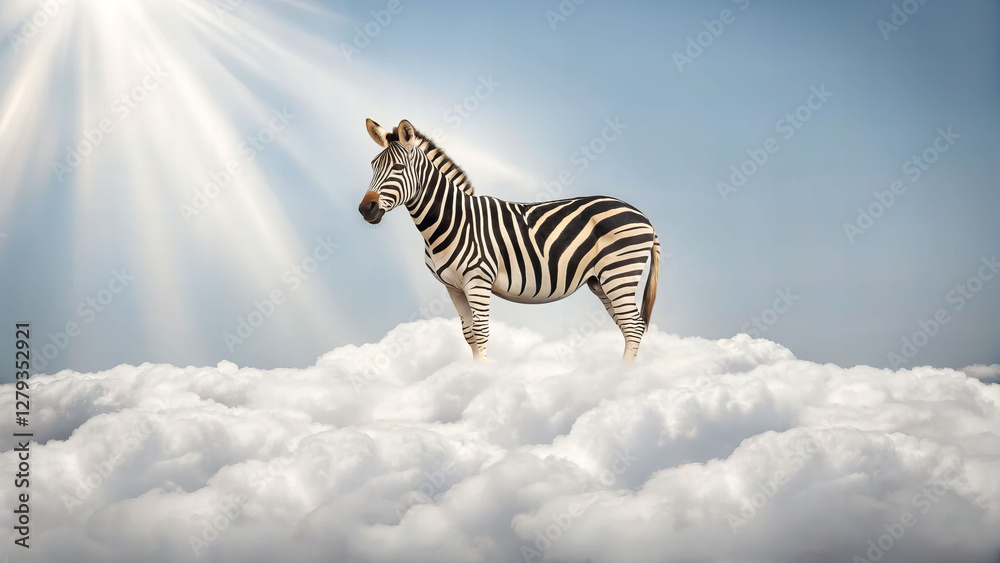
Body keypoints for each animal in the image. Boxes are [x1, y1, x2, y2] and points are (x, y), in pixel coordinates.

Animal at [359, 118, 660, 363]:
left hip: (619, 272)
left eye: (398, 167)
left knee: (633, 326)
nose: (366, 209)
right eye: (373, 166)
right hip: (601, 280)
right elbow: (469, 334)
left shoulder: (478, 280)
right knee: (627, 327)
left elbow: (481, 332)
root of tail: (643, 216)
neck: (452, 220)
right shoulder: (453, 287)